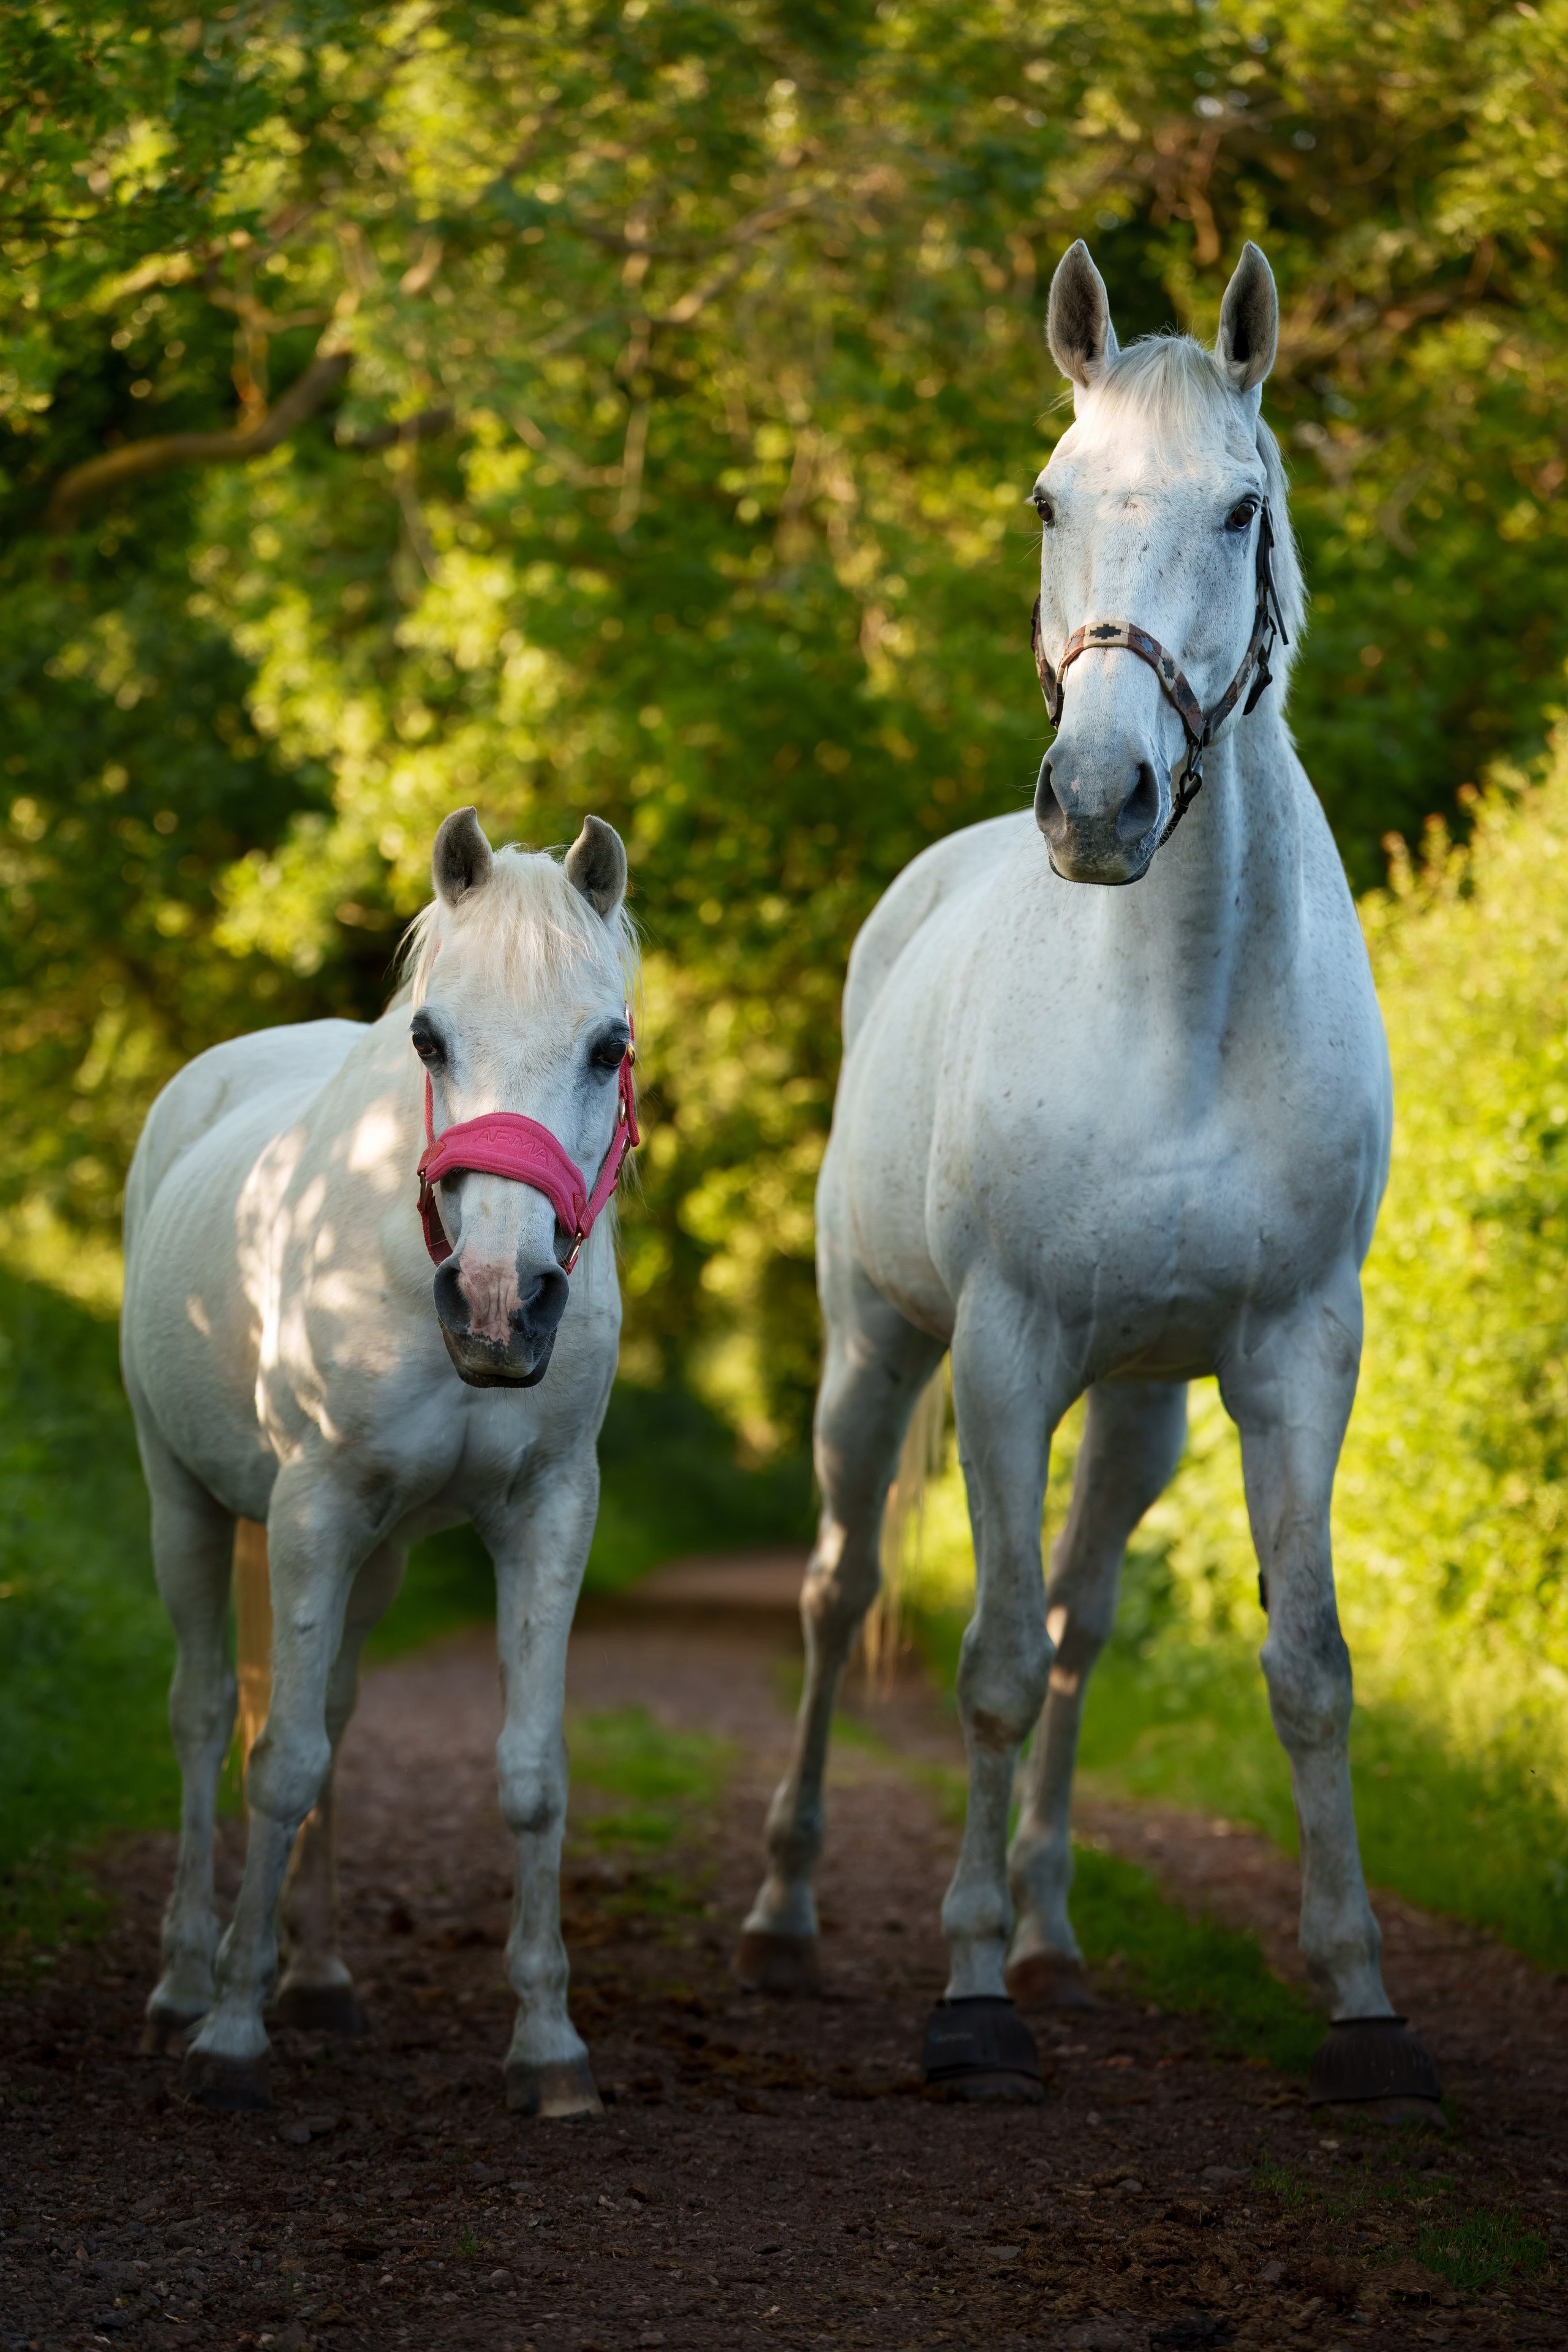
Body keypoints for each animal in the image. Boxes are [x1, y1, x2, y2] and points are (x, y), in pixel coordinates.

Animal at [121, 808, 638, 2117]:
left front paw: (548, 2044)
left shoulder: (549, 1514)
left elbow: (530, 1773)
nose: (500, 1306)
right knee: (205, 1716)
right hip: (184, 1503)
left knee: (339, 1710)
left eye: (608, 1046)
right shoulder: (314, 1511)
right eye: (428, 1037)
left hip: (381, 1554)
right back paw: (185, 1983)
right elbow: (280, 1761)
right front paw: (231, 2038)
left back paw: (316, 1976)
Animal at [738, 241, 1442, 2115]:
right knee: (839, 1595)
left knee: (1079, 1622)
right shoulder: (1002, 1352)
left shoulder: (1293, 1361)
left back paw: (1053, 1926)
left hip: (1140, 1409)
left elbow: (1305, 1667)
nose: (1101, 800)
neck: (1179, 1017)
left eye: (1238, 508)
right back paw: (789, 1912)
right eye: (1048, 499)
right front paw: (969, 2001)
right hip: (875, 1356)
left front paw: (1361, 2001)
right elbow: (979, 1667)